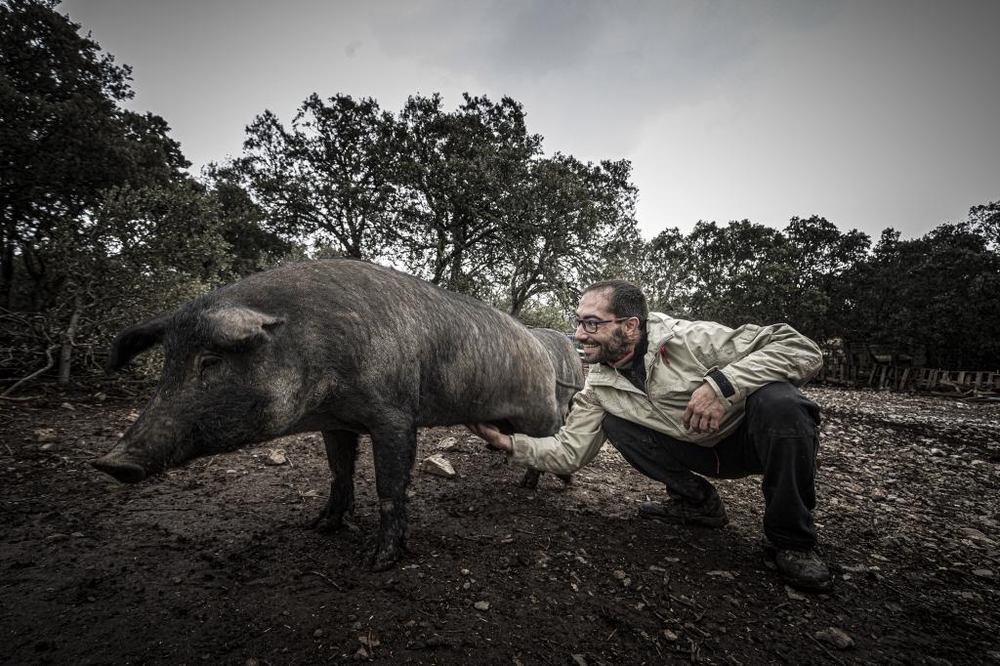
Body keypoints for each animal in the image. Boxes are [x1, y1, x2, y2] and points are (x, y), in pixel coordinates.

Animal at [95, 256, 580, 568]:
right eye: (167, 365)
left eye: (210, 362)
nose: (111, 462)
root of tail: (542, 348)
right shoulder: (337, 423)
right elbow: (339, 472)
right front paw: (320, 526)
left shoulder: (395, 415)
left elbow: (390, 486)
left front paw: (379, 563)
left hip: (540, 407)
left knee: (556, 432)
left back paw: (561, 484)